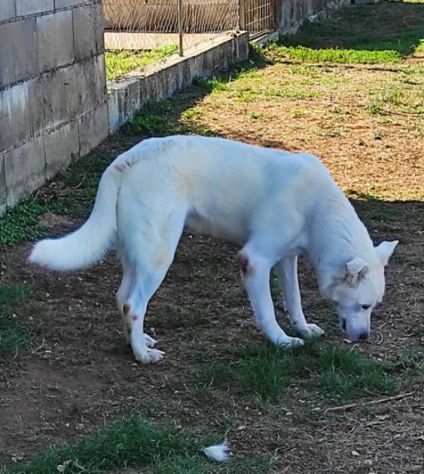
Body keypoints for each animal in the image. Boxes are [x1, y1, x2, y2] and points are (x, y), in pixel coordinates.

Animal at [29, 135, 398, 364]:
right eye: (364, 305)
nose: (364, 337)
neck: (318, 209)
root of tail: (127, 159)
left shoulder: (287, 258)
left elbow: (294, 301)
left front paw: (303, 329)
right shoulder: (255, 261)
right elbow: (267, 311)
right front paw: (281, 342)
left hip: (140, 255)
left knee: (122, 299)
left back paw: (138, 342)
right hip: (159, 255)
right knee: (133, 304)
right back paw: (142, 356)